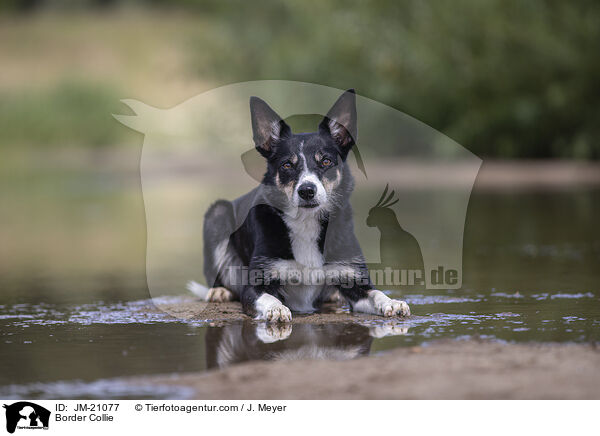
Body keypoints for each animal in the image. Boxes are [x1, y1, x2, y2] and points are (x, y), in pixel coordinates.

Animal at [190, 88, 410, 322]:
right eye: (287, 165)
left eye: (325, 161)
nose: (307, 191)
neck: (306, 221)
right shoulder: (256, 285)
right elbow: (268, 297)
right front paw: (276, 308)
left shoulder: (354, 278)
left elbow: (376, 293)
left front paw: (393, 302)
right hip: (217, 213)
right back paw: (219, 291)